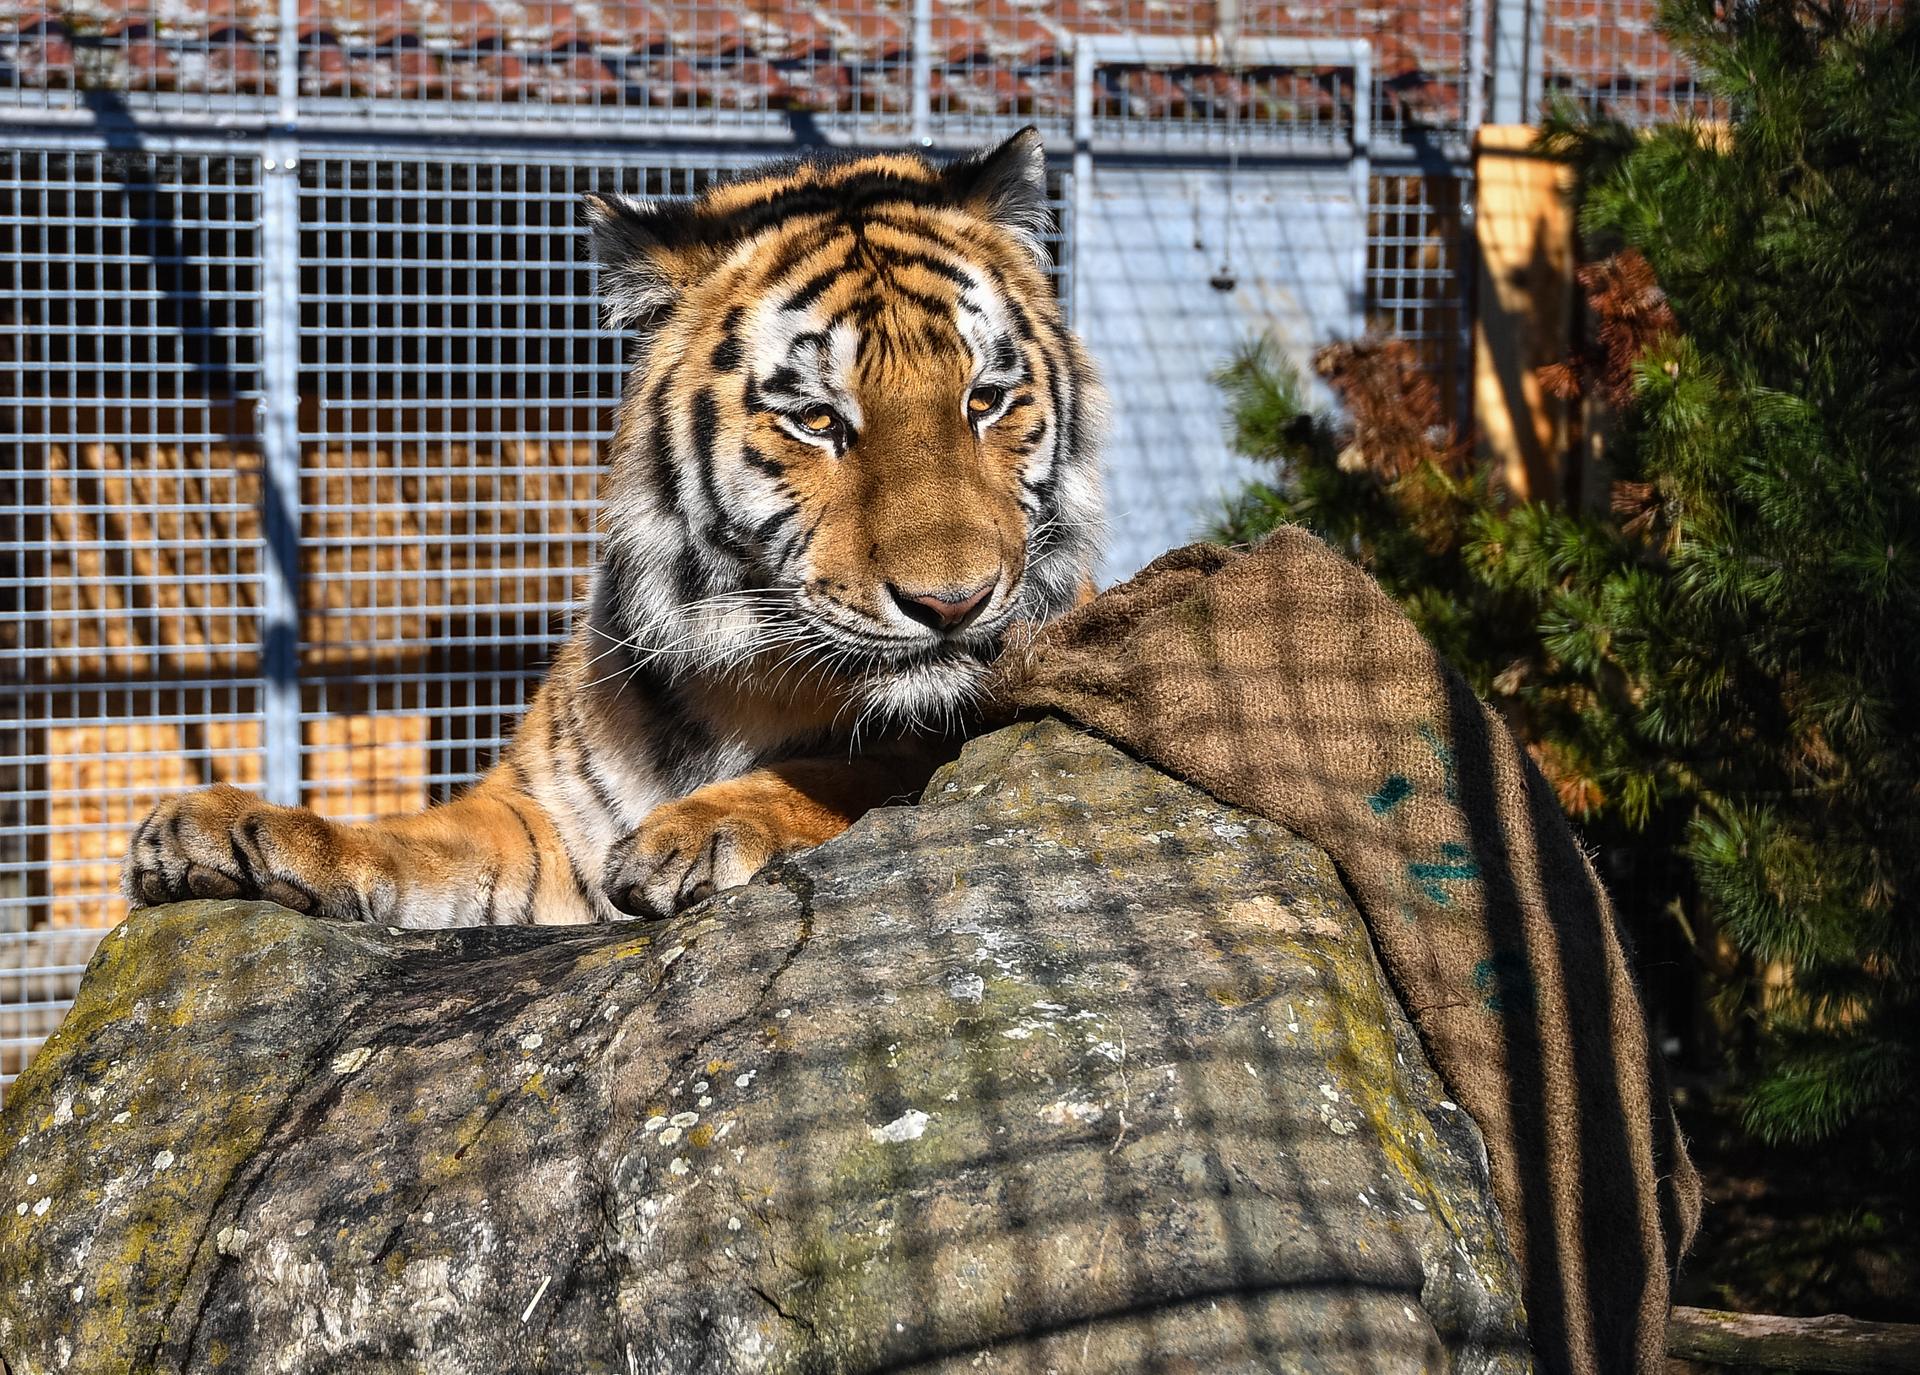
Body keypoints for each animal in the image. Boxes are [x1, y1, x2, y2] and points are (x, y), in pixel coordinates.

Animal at [120, 128, 1105, 925]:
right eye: (817, 420)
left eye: (984, 401)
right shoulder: (542, 819)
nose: (953, 603)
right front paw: (231, 828)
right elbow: (417, 839)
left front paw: (703, 827)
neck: (746, 675)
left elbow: (862, 771)